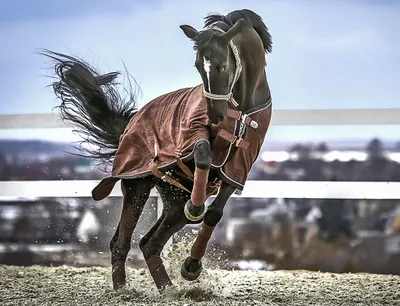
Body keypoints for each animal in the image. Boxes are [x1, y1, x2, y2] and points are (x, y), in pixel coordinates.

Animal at [41, 8, 272, 292]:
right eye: (198, 66)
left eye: (223, 65)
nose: (216, 117)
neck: (243, 110)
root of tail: (130, 124)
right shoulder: (192, 133)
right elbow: (203, 155)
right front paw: (196, 208)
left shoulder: (238, 168)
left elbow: (215, 213)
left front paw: (191, 267)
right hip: (137, 186)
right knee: (121, 242)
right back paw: (123, 290)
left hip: (173, 202)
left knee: (149, 243)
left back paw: (167, 288)